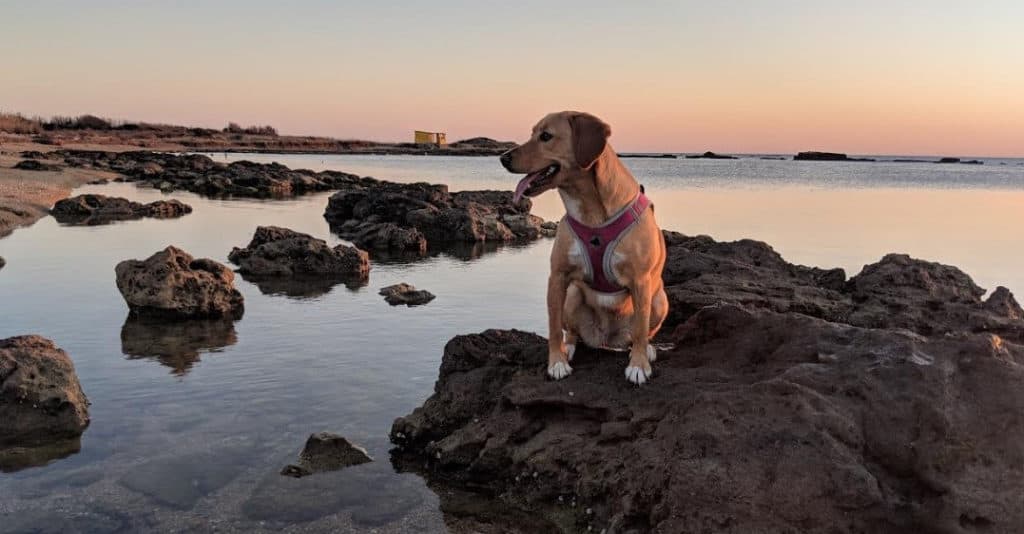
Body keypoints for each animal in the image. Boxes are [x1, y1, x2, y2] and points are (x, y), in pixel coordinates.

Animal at [499, 110, 667, 383]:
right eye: (532, 134)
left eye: (546, 136)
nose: (503, 157)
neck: (590, 210)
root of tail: (606, 339)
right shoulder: (558, 277)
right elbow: (554, 327)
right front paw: (556, 362)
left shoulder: (641, 281)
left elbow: (641, 329)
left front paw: (639, 365)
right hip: (572, 294)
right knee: (572, 331)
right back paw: (569, 346)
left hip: (659, 299)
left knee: (640, 332)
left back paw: (645, 349)